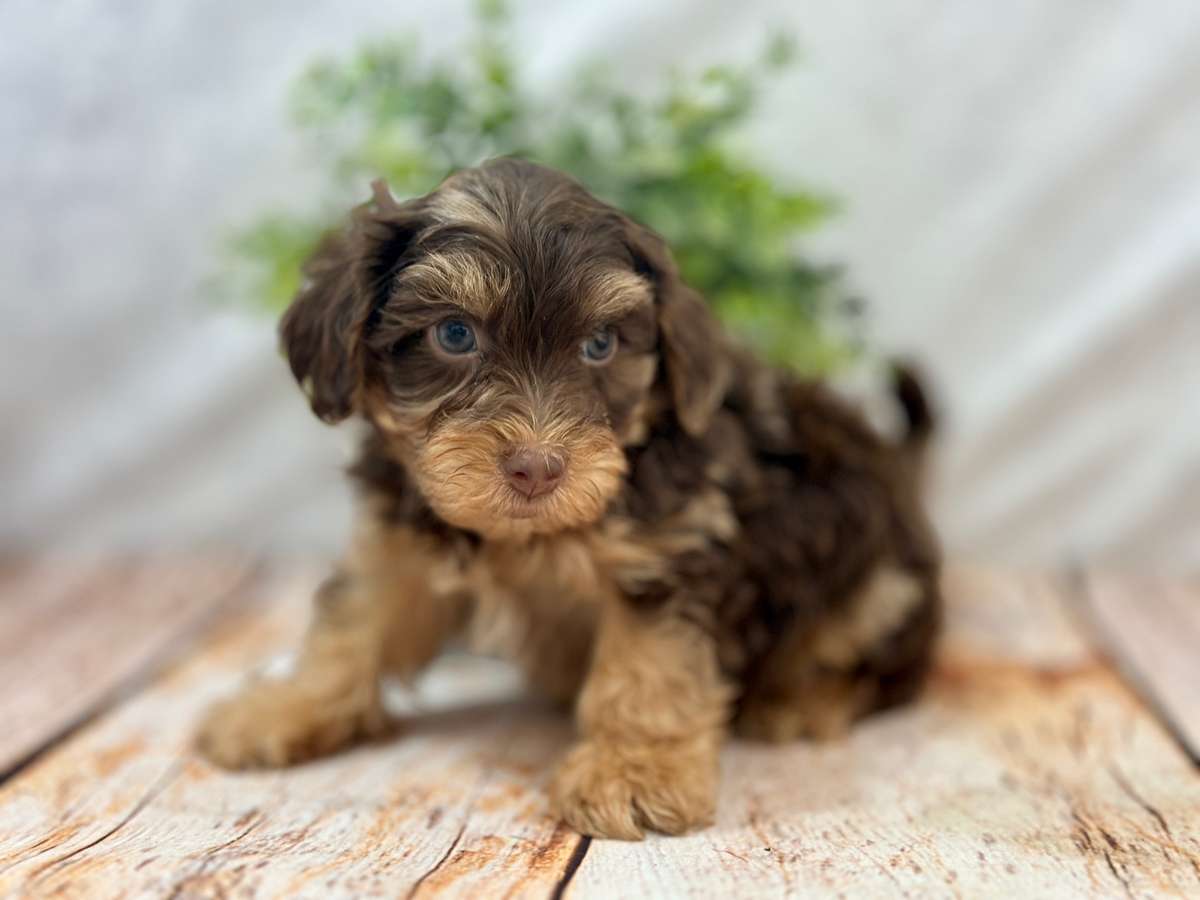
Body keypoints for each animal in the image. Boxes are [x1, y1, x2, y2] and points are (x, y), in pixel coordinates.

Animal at [196, 158, 940, 844]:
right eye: (454, 334)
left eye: (600, 345)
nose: (537, 468)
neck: (529, 534)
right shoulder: (401, 538)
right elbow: (357, 619)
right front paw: (285, 706)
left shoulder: (670, 550)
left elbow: (650, 669)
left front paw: (633, 772)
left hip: (881, 585)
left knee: (892, 668)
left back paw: (804, 699)